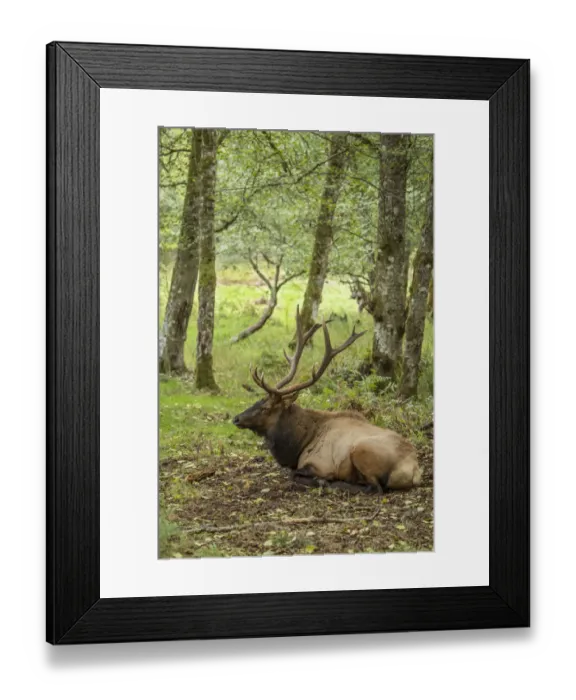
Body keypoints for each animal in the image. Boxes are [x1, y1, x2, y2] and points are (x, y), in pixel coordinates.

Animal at [232, 307, 422, 493]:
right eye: (258, 400)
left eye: (266, 407)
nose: (236, 418)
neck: (299, 444)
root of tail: (414, 471)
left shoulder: (319, 464)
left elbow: (294, 475)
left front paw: (322, 480)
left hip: (361, 450)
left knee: (374, 488)